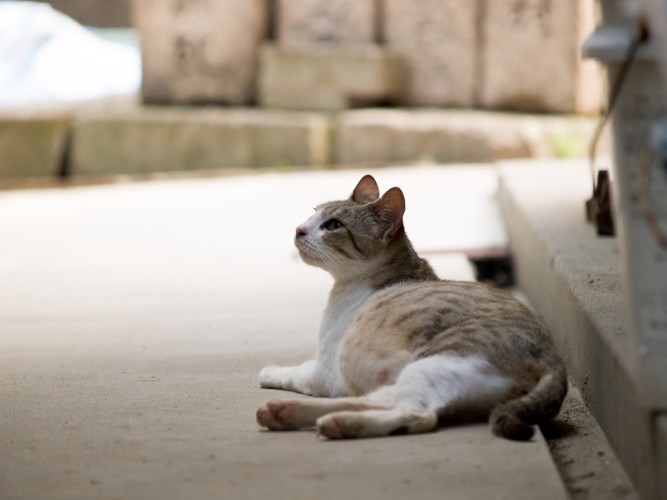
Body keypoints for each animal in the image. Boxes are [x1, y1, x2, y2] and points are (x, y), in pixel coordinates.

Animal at [258, 174, 568, 440]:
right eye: (312, 213)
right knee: (379, 403)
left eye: (333, 225)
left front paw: (270, 372)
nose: (298, 229)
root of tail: (555, 360)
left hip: (434, 363)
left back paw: (339, 423)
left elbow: (296, 372)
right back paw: (284, 413)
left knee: (416, 415)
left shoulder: (327, 371)